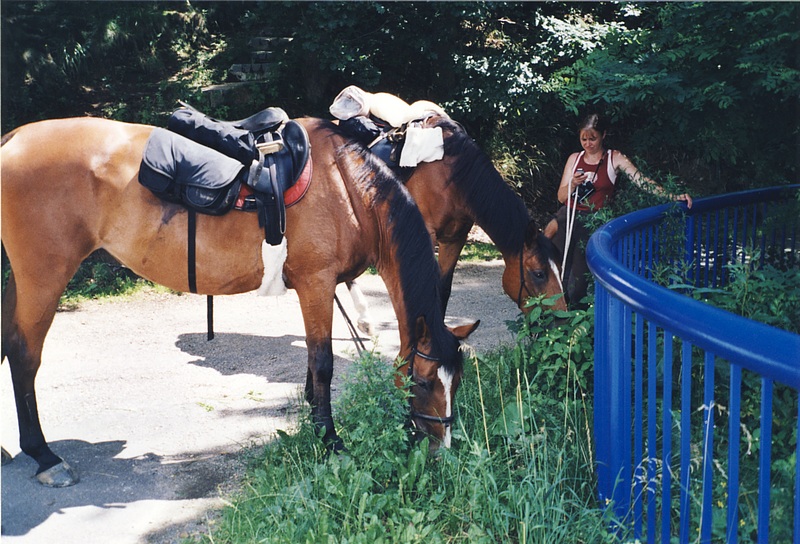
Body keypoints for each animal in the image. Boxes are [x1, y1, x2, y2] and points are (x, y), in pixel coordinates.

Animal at [1, 117, 476, 486]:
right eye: (425, 382)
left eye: (458, 382)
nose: (442, 449)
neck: (347, 186)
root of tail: (14, 137)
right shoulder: (317, 283)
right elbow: (323, 365)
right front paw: (330, 441)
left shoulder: (317, 289)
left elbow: (311, 366)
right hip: (43, 277)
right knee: (25, 355)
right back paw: (44, 456)